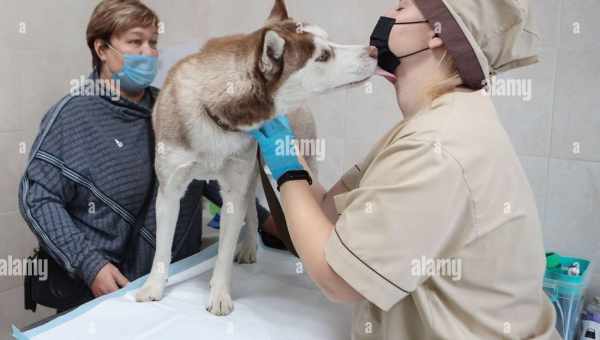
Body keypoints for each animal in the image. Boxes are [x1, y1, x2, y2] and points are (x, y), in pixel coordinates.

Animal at [136, 0, 376, 316]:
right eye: (323, 55)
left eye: (329, 42)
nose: (373, 51)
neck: (216, 115)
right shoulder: (169, 190)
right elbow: (162, 249)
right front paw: (154, 286)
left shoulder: (234, 188)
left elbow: (224, 251)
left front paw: (219, 294)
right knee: (250, 207)